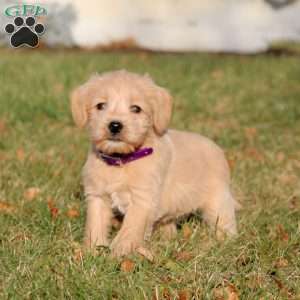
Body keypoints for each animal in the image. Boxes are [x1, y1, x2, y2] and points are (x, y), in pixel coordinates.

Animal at [70, 69, 237, 255]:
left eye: (136, 108)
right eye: (100, 105)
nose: (115, 125)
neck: (122, 160)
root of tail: (217, 148)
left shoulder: (142, 200)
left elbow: (130, 229)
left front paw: (120, 252)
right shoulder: (98, 196)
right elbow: (95, 225)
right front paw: (92, 250)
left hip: (217, 202)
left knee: (225, 224)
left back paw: (224, 243)